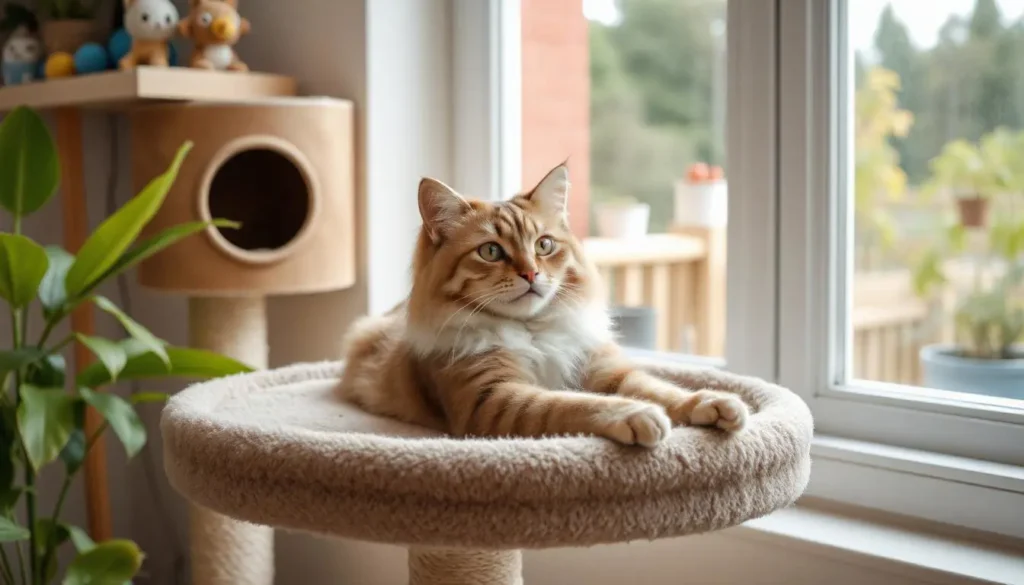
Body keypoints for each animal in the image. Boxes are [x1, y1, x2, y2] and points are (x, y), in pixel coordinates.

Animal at [339, 162, 749, 446]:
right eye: (491, 252)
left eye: (544, 245)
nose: (531, 274)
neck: (533, 331)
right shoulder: (494, 398)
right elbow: (571, 404)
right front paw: (636, 414)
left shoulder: (605, 370)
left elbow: (662, 389)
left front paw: (713, 403)